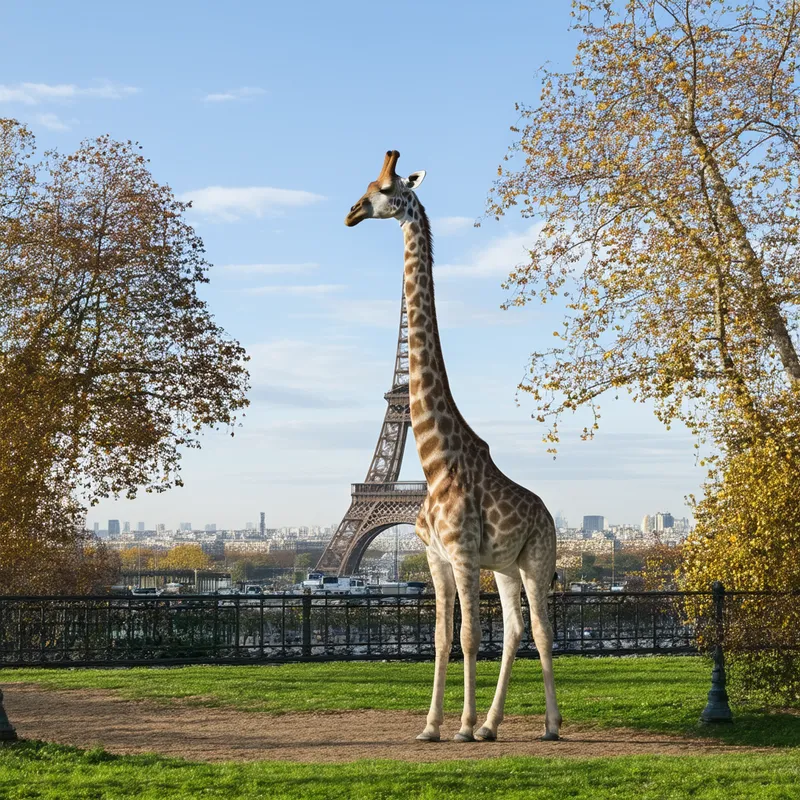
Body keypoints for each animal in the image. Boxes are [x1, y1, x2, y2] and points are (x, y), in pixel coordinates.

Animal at [345, 150, 561, 743]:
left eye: (387, 188)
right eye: (366, 185)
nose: (351, 212)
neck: (434, 459)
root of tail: (549, 512)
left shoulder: (463, 555)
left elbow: (468, 637)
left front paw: (458, 726)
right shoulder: (437, 558)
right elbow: (443, 638)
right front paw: (432, 726)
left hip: (537, 558)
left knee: (540, 629)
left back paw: (548, 724)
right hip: (506, 566)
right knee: (515, 630)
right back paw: (491, 725)